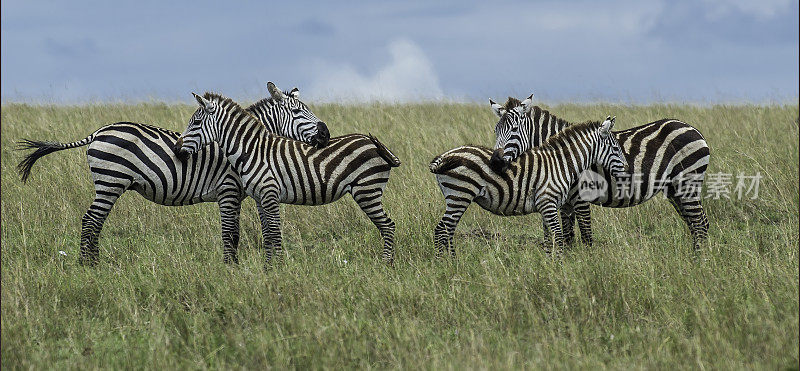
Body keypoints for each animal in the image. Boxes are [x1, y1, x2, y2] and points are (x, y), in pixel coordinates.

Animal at [19, 82, 332, 266]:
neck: (245, 143)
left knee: (95, 221)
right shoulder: (229, 190)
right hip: (110, 182)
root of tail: (98, 131)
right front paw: (231, 268)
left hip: (108, 183)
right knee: (91, 220)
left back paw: (92, 263)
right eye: (298, 112)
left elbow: (245, 231)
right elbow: (230, 232)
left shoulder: (243, 194)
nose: (326, 134)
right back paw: (88, 266)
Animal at [175, 91, 400, 266]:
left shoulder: (269, 193)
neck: (252, 150)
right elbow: (267, 234)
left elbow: (275, 233)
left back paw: (386, 265)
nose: (177, 149)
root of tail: (375, 144)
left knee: (388, 225)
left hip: (367, 190)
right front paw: (268, 268)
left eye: (196, 123)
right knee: (387, 225)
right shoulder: (259, 198)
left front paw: (280, 269)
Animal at [432, 116, 624, 258]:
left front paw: (550, 266)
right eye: (615, 148)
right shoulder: (548, 202)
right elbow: (558, 236)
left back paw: (453, 261)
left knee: (448, 230)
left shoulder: (547, 206)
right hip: (460, 194)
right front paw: (560, 267)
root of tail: (443, 157)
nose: (626, 169)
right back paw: (444, 264)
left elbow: (548, 239)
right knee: (442, 230)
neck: (561, 164)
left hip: (456, 197)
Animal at [490, 95, 708, 253]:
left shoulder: (580, 198)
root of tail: (693, 128)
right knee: (695, 224)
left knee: (700, 224)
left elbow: (586, 236)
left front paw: (590, 267)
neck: (563, 155)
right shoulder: (564, 201)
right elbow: (567, 236)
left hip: (687, 183)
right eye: (495, 130)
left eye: (515, 130)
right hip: (674, 190)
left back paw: (699, 263)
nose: (494, 163)